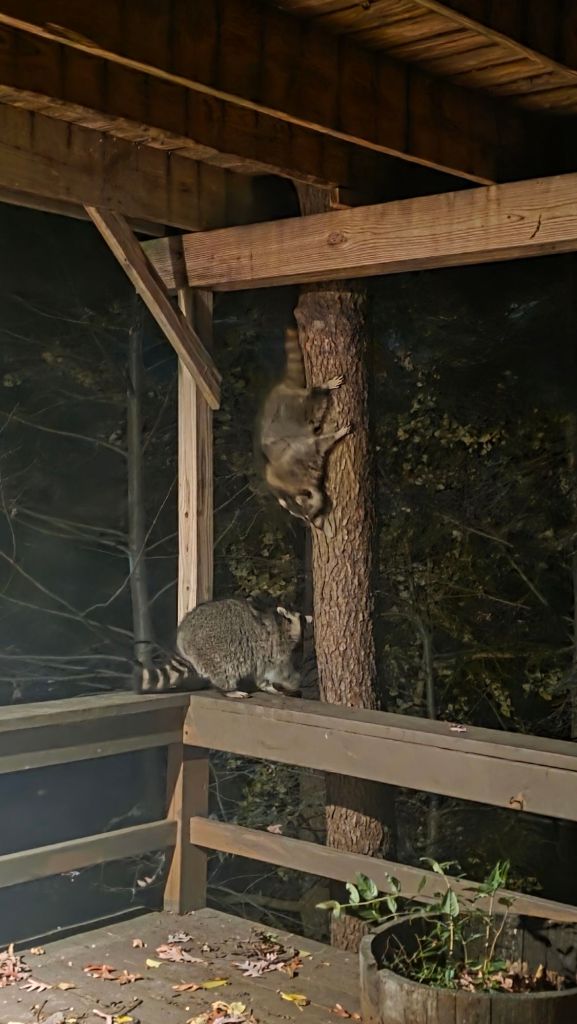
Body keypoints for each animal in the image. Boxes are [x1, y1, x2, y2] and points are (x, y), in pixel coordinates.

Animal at [137, 598, 311, 699]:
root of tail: (182, 635)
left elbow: (261, 674)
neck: (282, 623)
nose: (310, 618)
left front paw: (267, 686)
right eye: (302, 618)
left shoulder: (263, 655)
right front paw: (293, 682)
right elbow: (279, 671)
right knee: (225, 671)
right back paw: (229, 690)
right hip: (212, 649)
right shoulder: (277, 647)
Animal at [259, 325, 351, 528]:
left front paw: (336, 434)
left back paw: (322, 388)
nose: (314, 526)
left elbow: (320, 443)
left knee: (312, 402)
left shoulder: (304, 452)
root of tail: (281, 388)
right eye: (305, 518)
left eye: (309, 514)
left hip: (296, 408)